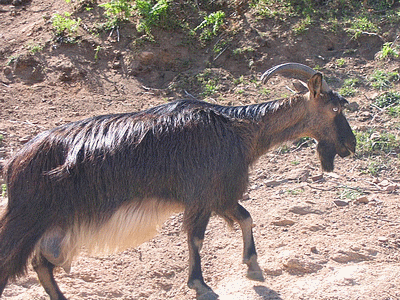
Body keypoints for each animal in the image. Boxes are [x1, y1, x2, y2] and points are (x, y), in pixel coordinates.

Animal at [0, 63, 356, 300]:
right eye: (335, 108)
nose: (350, 145)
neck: (239, 129)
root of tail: (16, 163)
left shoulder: (219, 195)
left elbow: (245, 218)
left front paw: (253, 266)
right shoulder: (202, 196)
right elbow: (196, 238)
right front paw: (200, 284)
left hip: (53, 224)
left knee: (41, 263)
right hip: (29, 217)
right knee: (13, 260)